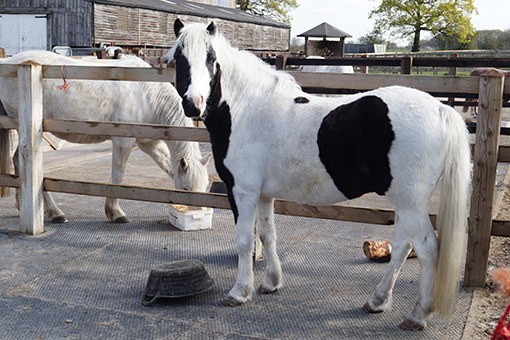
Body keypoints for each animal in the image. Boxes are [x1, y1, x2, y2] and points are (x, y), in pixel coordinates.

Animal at [0, 51, 210, 223]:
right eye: (186, 189)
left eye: (205, 187)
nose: (197, 215)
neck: (147, 94)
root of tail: (8, 63)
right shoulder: (123, 141)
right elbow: (117, 175)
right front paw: (115, 213)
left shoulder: (150, 144)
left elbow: (168, 167)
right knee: (23, 161)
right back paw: (54, 213)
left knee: (17, 160)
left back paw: (22, 206)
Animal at [166, 19, 470, 330]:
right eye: (179, 59)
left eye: (211, 59)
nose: (193, 104)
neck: (247, 108)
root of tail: (441, 109)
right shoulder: (262, 195)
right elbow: (267, 235)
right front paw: (271, 283)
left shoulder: (242, 191)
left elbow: (244, 241)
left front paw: (240, 292)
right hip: (404, 202)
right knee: (401, 247)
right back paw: (377, 301)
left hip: (410, 203)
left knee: (428, 249)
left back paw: (417, 314)